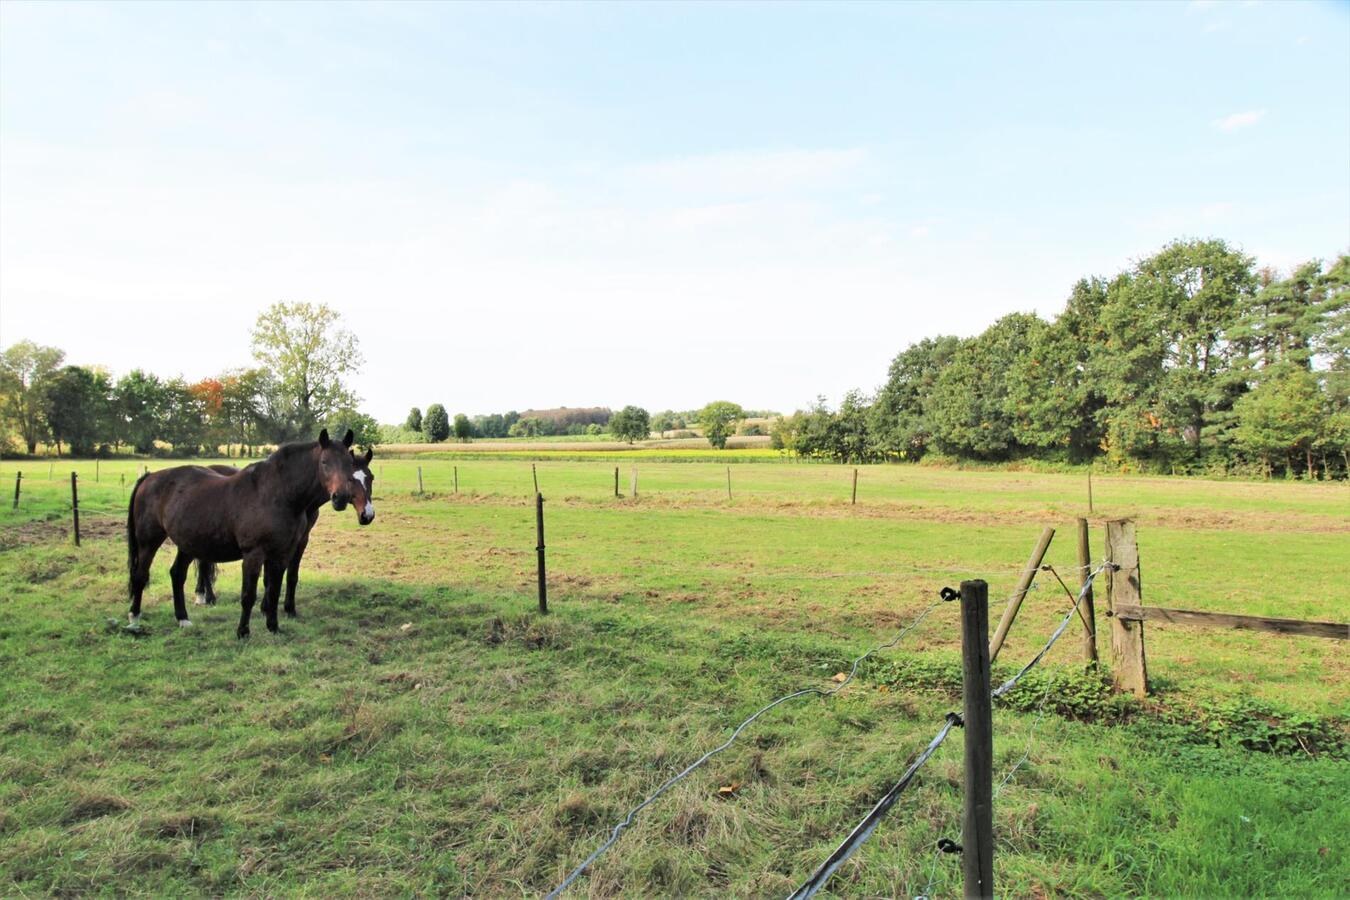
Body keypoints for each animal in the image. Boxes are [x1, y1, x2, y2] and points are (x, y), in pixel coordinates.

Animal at [193, 447, 378, 615]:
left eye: (371, 477)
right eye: (351, 478)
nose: (367, 515)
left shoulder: (300, 540)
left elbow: (290, 575)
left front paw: (281, 608)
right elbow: (271, 577)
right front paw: (270, 607)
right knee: (203, 563)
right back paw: (206, 597)